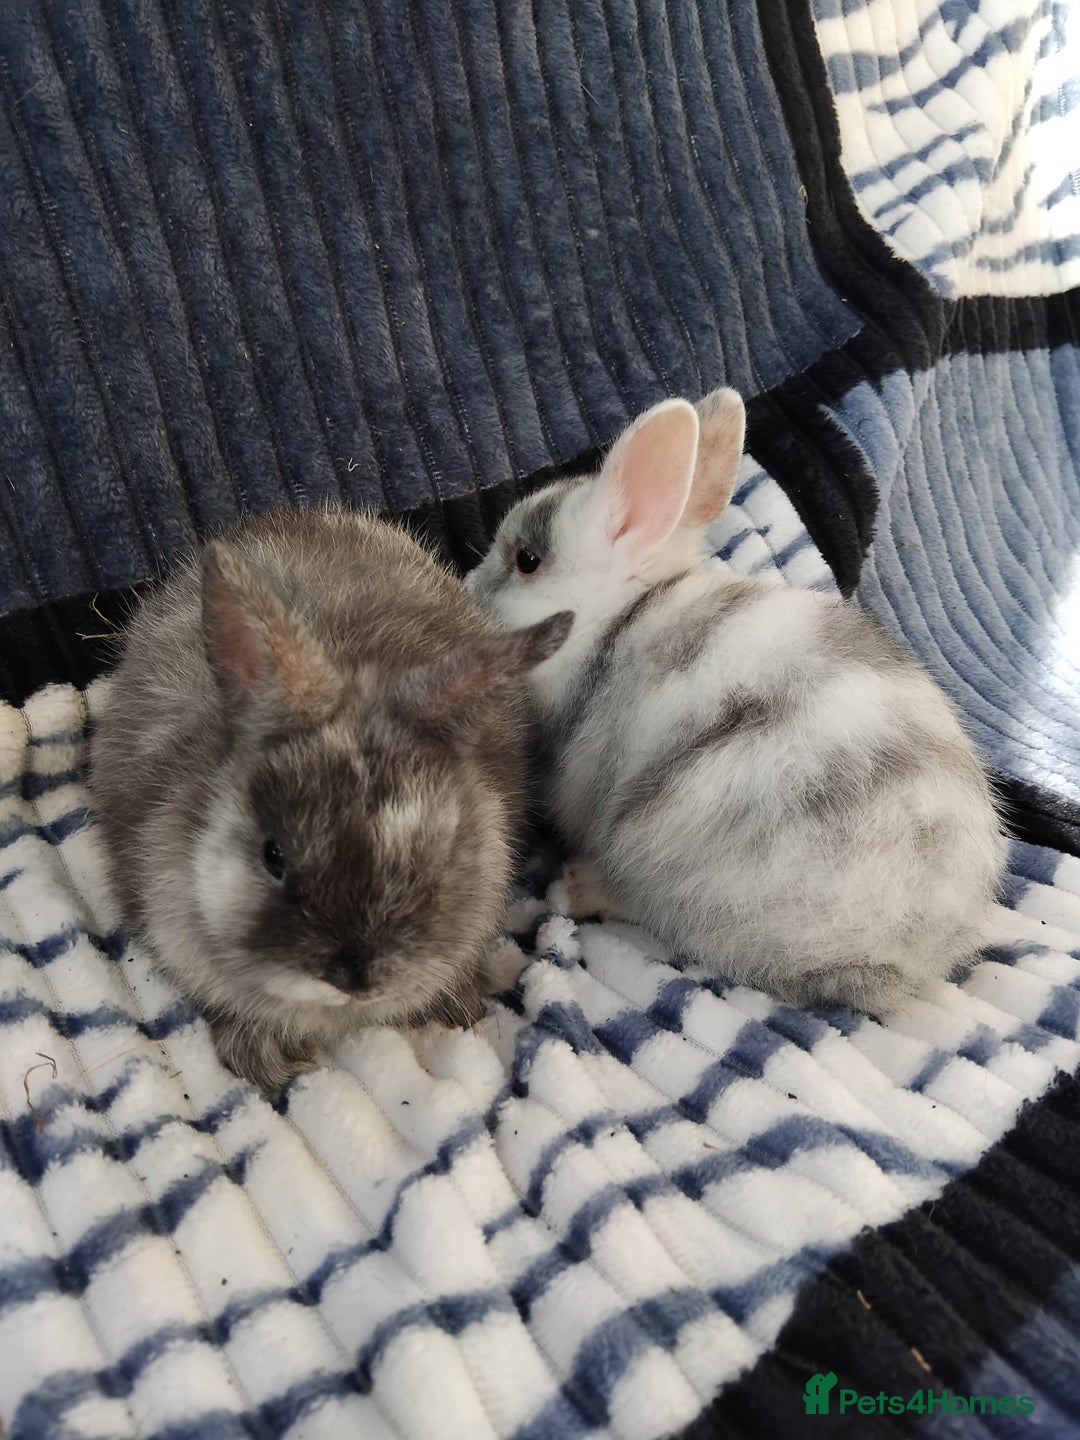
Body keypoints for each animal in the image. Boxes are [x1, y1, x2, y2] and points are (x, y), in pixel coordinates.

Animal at [465, 389, 1006, 1014]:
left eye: (526, 560)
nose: (467, 589)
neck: (616, 621)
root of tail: (903, 955)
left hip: (661, 850)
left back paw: (581, 887)